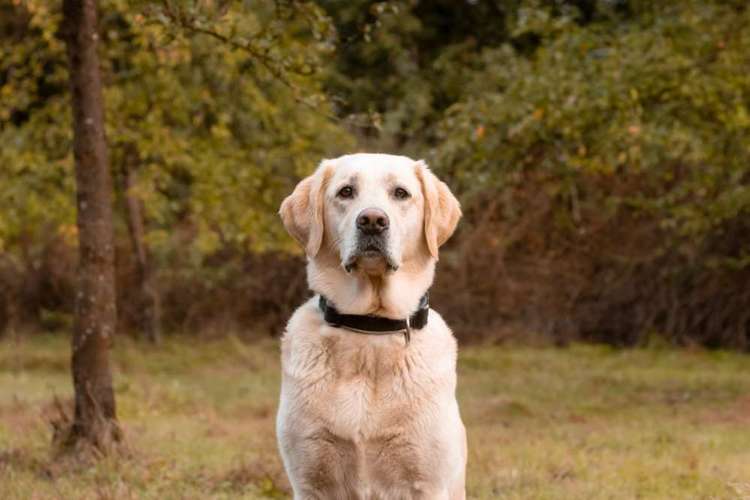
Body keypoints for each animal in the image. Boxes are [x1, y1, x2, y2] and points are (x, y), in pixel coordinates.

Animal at [278, 153, 464, 500]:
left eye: (401, 193)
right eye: (346, 192)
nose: (373, 221)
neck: (370, 328)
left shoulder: (427, 482)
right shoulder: (311, 480)